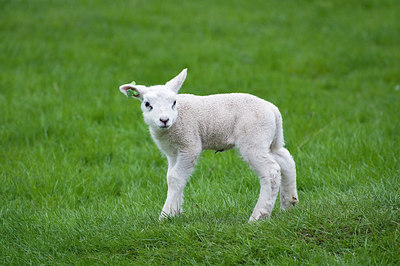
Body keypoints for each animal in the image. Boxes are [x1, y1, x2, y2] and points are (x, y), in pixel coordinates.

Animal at [120, 68, 298, 220]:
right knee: (286, 160)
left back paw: (258, 217)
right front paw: (176, 213)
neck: (176, 121)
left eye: (174, 102)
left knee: (271, 171)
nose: (164, 120)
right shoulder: (172, 152)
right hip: (271, 140)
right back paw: (289, 204)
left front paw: (166, 215)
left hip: (254, 139)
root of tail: (274, 110)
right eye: (147, 104)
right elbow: (172, 176)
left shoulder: (189, 145)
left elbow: (175, 177)